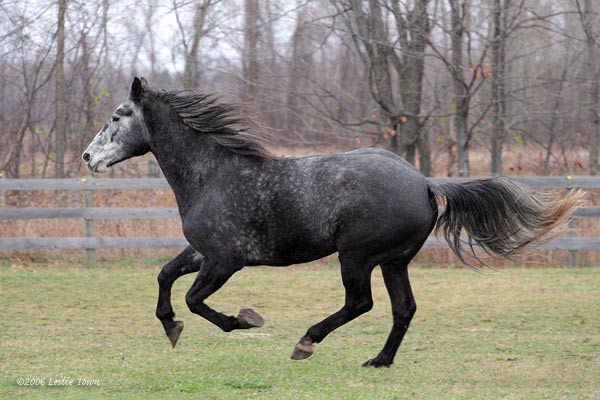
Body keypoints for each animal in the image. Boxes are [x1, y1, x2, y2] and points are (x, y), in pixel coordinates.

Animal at [82, 76, 584, 368]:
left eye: (117, 116)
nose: (87, 157)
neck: (215, 175)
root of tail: (424, 183)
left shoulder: (225, 261)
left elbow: (194, 299)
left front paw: (244, 320)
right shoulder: (202, 252)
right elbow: (166, 277)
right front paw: (171, 329)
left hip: (356, 257)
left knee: (361, 303)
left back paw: (306, 342)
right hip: (393, 261)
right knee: (404, 309)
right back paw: (379, 361)